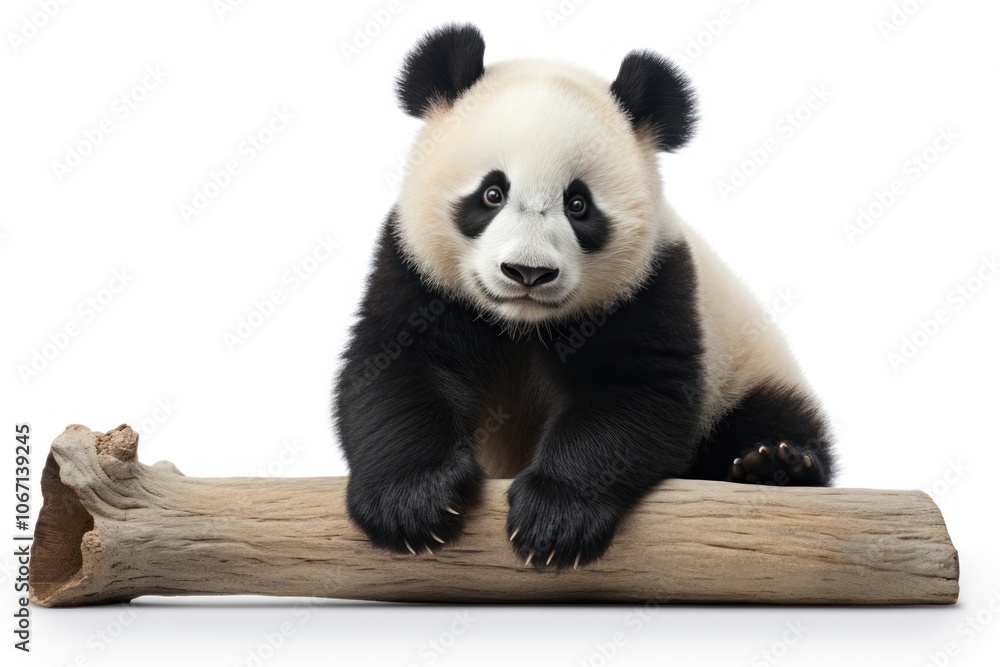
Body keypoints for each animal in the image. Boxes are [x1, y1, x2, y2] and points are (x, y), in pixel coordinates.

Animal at [334, 24, 835, 569]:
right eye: (492, 194)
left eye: (578, 204)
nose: (527, 272)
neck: (523, 323)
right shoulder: (415, 271)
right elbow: (399, 368)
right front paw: (412, 504)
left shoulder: (651, 285)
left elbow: (631, 394)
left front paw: (553, 520)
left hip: (746, 370)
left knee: (771, 416)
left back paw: (775, 464)